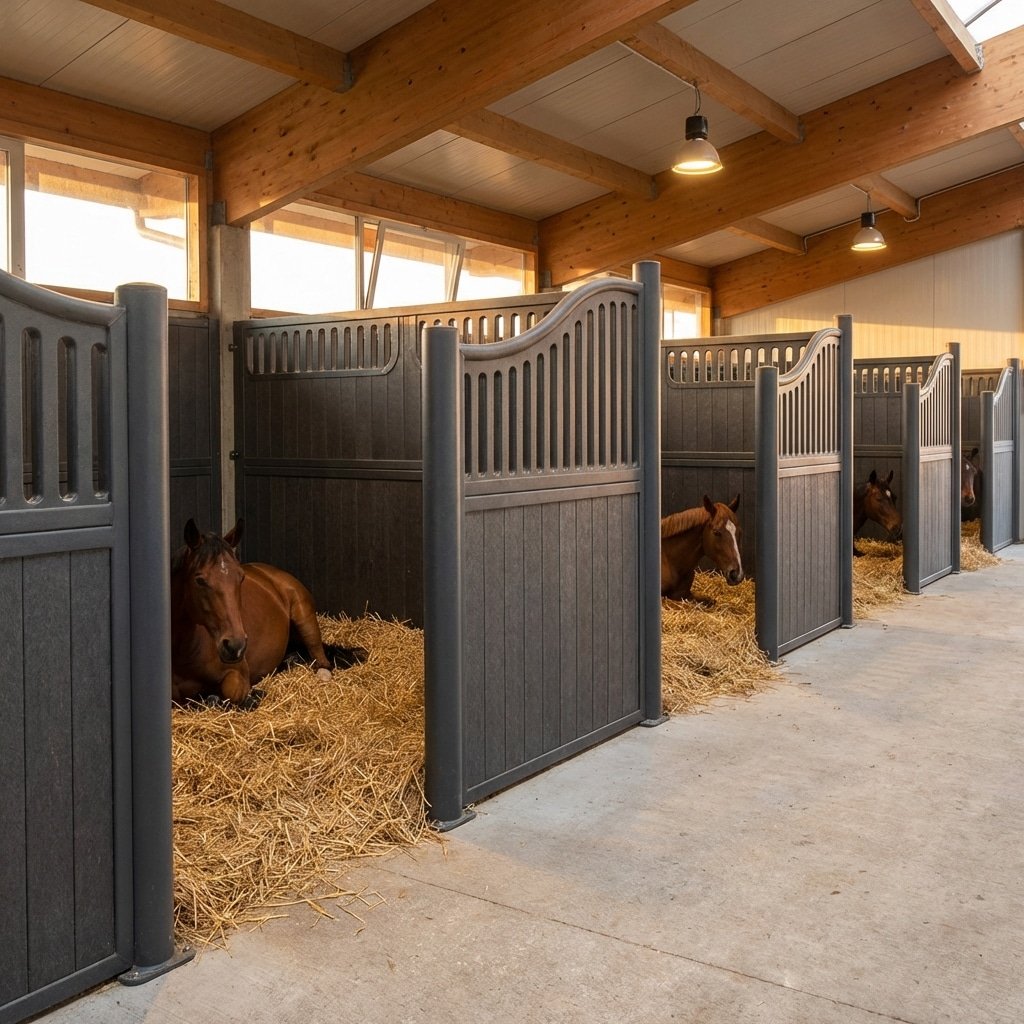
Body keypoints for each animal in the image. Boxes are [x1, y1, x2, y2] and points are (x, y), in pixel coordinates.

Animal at [170, 519, 365, 708]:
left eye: (241, 577)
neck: (187, 650)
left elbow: (228, 696)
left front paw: (253, 696)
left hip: (305, 619)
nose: (235, 646)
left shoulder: (238, 674)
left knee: (321, 659)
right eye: (199, 580)